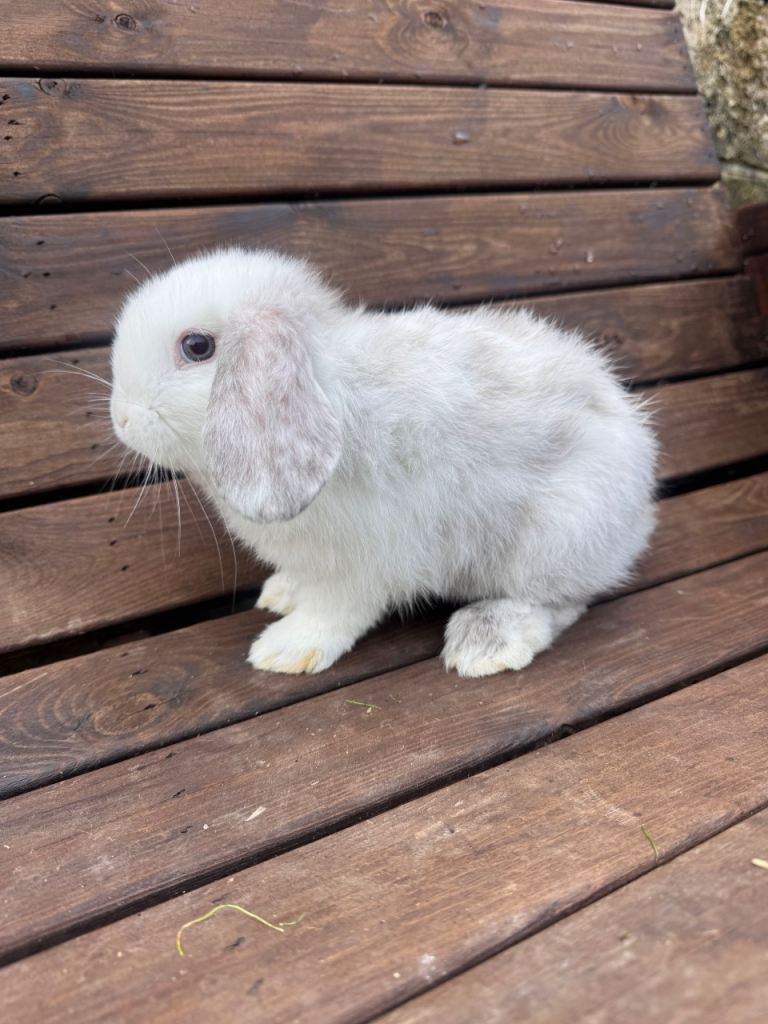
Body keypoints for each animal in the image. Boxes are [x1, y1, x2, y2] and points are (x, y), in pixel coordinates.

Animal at [111, 247, 657, 678]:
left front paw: (285, 650)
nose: (122, 418)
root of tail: (639, 510)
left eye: (196, 346)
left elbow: (335, 609)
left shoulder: (367, 557)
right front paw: (282, 594)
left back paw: (485, 642)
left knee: (558, 602)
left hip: (555, 535)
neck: (326, 382)